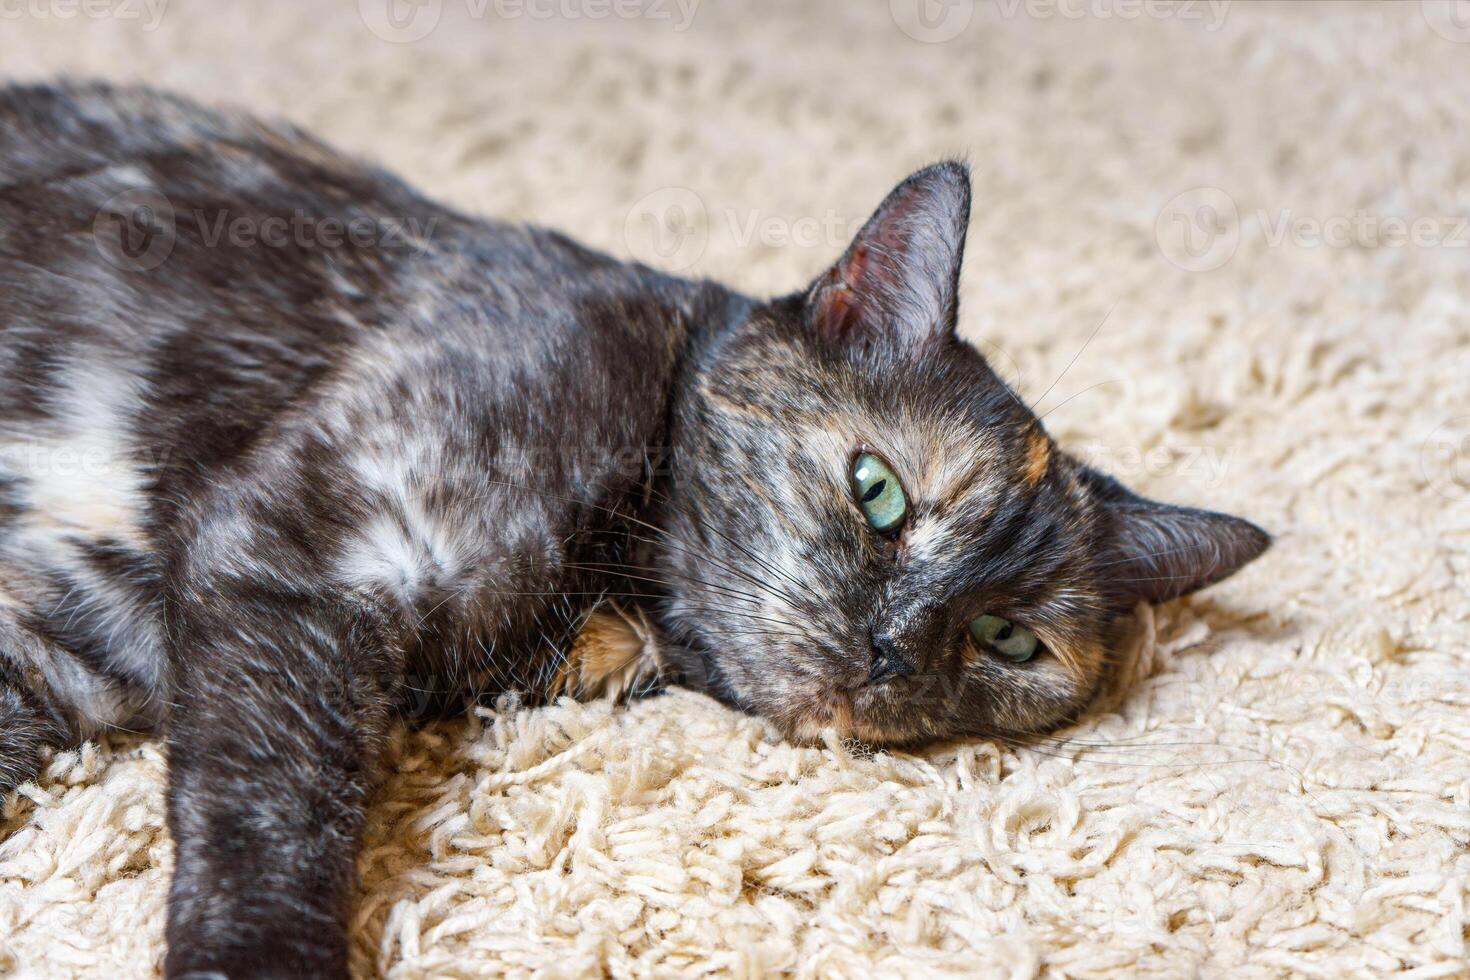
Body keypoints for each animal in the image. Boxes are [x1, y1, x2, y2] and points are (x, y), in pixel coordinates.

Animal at [0, 80, 1264, 975]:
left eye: (1008, 640)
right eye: (879, 492)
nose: (892, 648)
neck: (622, 585)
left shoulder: (90, 644)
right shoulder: (310, 549)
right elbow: (275, 813)